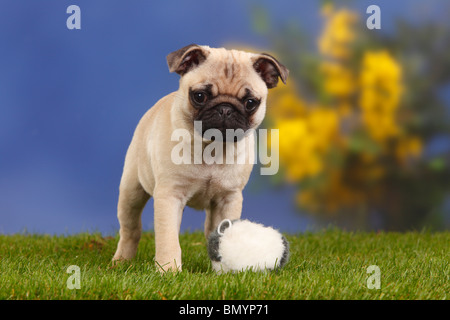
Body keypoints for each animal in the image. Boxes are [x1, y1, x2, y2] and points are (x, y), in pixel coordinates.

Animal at [113, 43, 288, 272]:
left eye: (250, 102)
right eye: (199, 96)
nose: (225, 109)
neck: (212, 148)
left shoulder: (228, 199)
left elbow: (224, 235)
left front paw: (225, 269)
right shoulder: (169, 196)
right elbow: (168, 238)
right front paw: (169, 269)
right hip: (131, 190)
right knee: (130, 228)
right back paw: (122, 259)